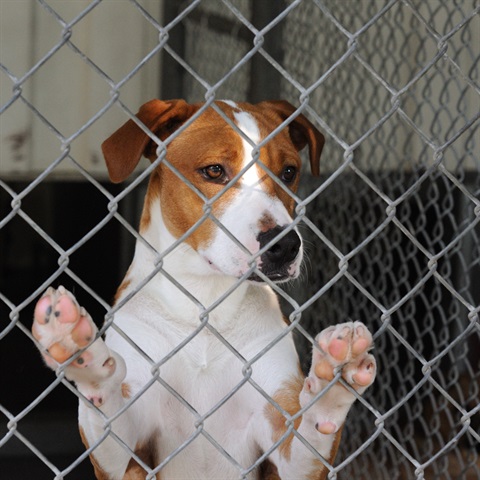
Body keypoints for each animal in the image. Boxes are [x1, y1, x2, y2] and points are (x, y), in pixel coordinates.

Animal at [31, 98, 376, 480]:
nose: (285, 246)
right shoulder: (127, 455)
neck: (206, 305)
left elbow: (311, 432)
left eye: (288, 172)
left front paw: (335, 383)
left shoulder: (285, 446)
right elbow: (107, 411)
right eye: (213, 171)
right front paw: (81, 355)